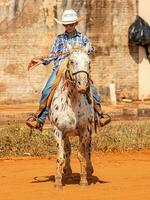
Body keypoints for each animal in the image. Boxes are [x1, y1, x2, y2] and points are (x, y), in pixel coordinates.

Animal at [49, 43, 93, 188]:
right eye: (72, 61)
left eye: (89, 62)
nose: (82, 86)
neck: (72, 100)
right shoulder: (58, 131)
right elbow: (60, 156)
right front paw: (58, 181)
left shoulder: (84, 131)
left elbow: (81, 155)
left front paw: (83, 180)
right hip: (65, 134)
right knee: (67, 149)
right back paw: (67, 171)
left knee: (88, 149)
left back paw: (89, 169)